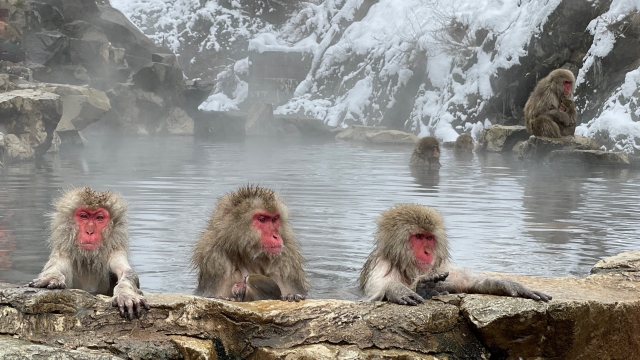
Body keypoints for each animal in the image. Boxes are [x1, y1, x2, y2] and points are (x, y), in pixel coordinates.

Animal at [30, 187, 151, 320]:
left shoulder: (115, 252)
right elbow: (54, 267)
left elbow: (128, 273)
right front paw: (51, 277)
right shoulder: (64, 251)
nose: (89, 231)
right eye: (84, 216)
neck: (88, 259)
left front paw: (125, 293)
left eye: (99, 218)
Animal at [358, 204, 552, 306]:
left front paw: (511, 285)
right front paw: (396, 289)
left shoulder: (440, 267)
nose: (427, 251)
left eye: (429, 238)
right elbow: (373, 296)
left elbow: (468, 283)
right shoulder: (381, 266)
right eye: (418, 237)